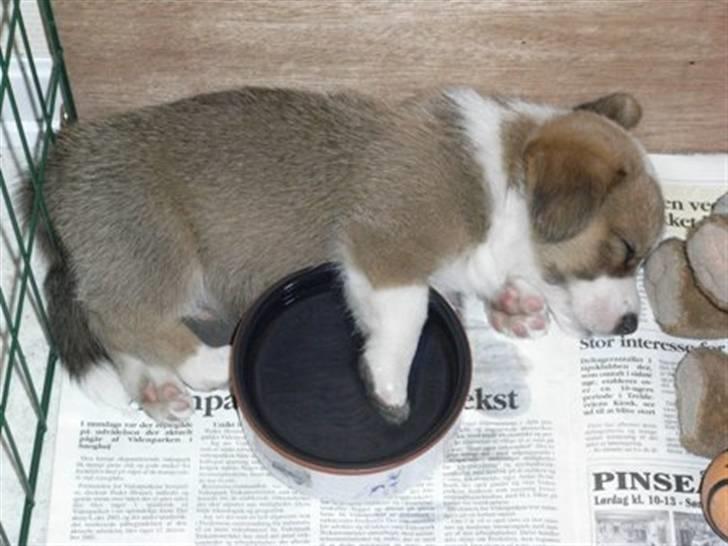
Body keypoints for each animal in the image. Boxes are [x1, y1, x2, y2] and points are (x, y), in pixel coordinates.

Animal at [27, 88, 664, 420]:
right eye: (625, 249)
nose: (632, 326)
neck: (499, 180)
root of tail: (59, 164)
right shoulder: (383, 250)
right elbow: (408, 316)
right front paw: (389, 383)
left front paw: (512, 302)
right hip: (160, 248)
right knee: (118, 317)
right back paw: (205, 363)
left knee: (113, 324)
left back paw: (154, 387)